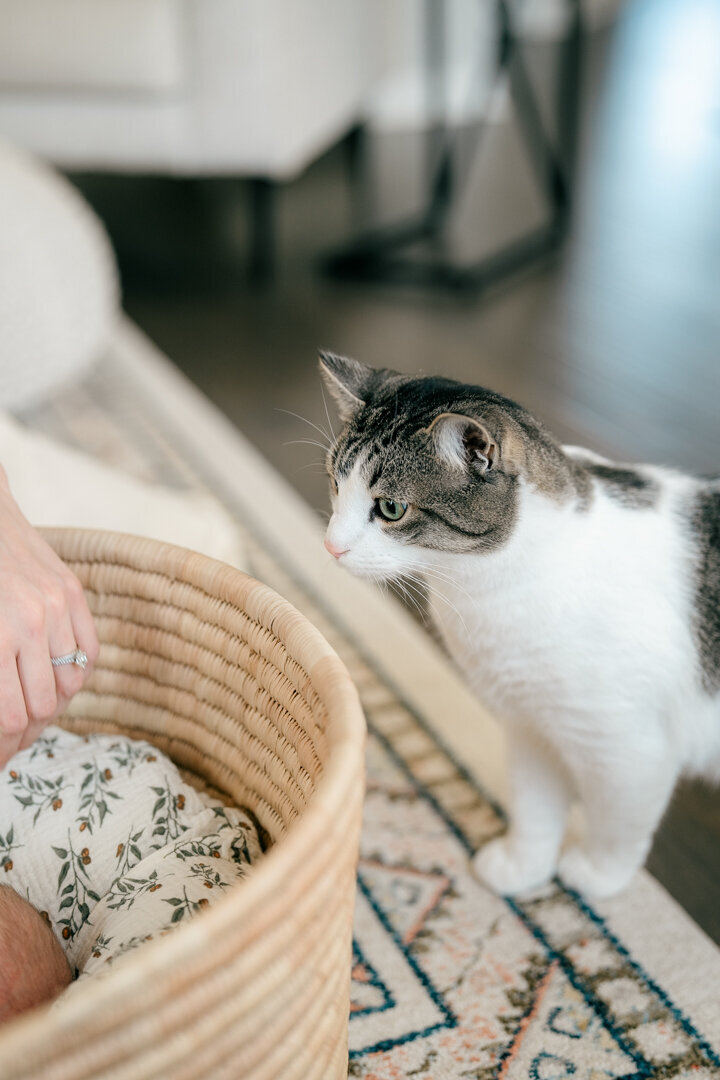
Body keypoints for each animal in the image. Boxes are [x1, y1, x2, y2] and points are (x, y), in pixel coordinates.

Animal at [321, 349, 720, 898]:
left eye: (391, 508)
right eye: (336, 484)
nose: (330, 545)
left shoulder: (629, 748)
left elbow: (618, 824)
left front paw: (595, 875)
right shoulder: (529, 725)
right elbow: (536, 808)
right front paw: (522, 868)